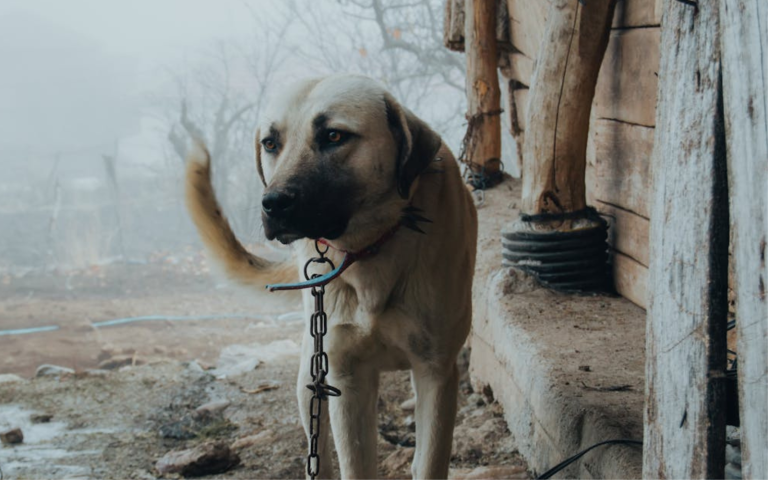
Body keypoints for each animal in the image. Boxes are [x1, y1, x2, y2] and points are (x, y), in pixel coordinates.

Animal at [185, 73, 474, 478]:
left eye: (334, 136)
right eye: (270, 143)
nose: (273, 204)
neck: (369, 249)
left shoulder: (436, 371)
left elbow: (429, 461)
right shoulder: (345, 377)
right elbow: (355, 464)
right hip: (312, 372)